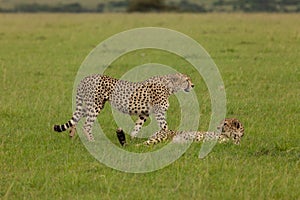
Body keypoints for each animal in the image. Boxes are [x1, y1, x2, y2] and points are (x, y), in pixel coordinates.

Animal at [54, 73, 195, 141]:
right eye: (186, 80)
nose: (193, 85)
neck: (170, 86)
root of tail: (85, 78)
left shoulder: (144, 114)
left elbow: (137, 127)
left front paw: (132, 139)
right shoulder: (159, 112)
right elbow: (165, 127)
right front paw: (168, 138)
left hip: (92, 105)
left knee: (76, 117)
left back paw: (72, 134)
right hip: (95, 106)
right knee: (86, 125)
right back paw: (92, 141)